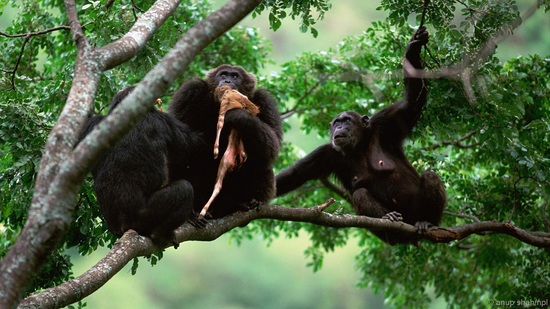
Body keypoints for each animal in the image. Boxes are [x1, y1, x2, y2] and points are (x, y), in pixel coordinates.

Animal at [78, 86, 206, 248]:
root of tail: (125, 225)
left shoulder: (92, 124)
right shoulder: (163, 121)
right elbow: (193, 145)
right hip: (145, 216)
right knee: (185, 189)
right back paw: (161, 235)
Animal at [169, 63, 284, 218]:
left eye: (235, 76)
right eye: (223, 74)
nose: (227, 81)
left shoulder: (265, 101)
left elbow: (274, 142)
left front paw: (237, 114)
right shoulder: (190, 92)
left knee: (261, 159)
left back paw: (249, 202)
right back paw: (196, 212)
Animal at [276, 26, 448, 244]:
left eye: (347, 120)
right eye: (337, 122)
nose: (339, 127)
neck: (359, 145)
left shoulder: (387, 122)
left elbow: (411, 101)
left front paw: (413, 47)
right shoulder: (325, 154)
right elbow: (295, 174)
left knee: (430, 176)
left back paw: (427, 222)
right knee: (360, 194)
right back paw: (389, 219)